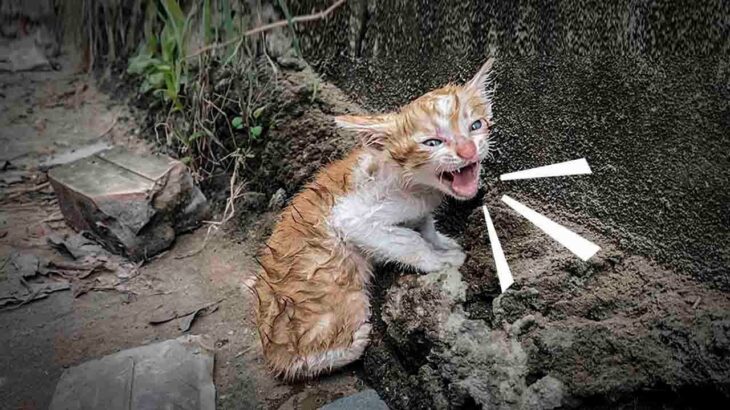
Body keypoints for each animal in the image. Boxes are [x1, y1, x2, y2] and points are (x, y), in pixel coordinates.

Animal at [252, 56, 494, 378]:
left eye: (475, 125)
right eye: (432, 142)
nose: (467, 150)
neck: (416, 184)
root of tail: (270, 345)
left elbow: (424, 225)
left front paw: (441, 242)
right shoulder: (350, 217)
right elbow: (409, 240)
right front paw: (438, 259)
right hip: (337, 293)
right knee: (299, 360)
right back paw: (352, 345)